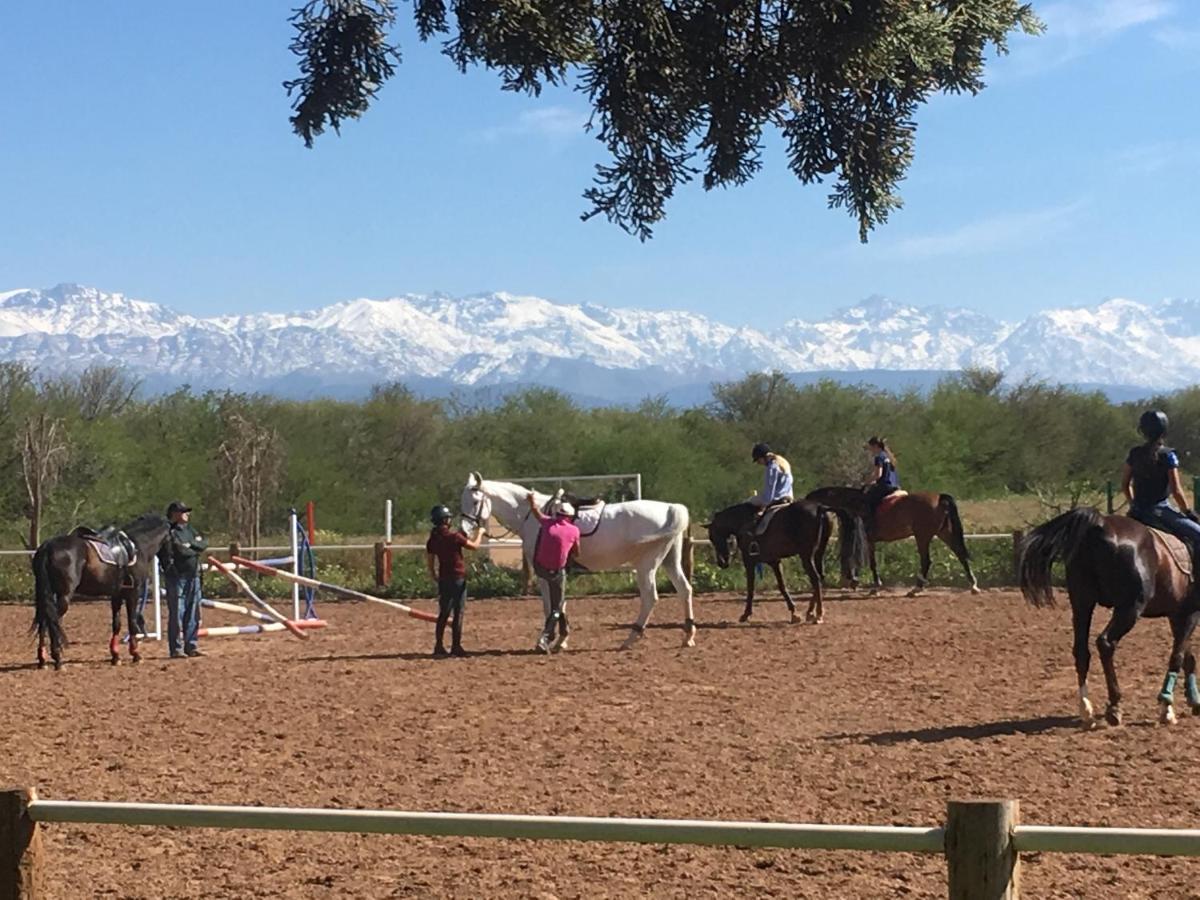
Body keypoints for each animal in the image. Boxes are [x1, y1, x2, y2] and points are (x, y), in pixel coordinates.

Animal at [31, 513, 172, 672]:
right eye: (172, 537)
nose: (169, 562)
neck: (136, 546)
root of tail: (48, 546)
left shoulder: (116, 595)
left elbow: (116, 624)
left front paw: (115, 656)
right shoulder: (133, 593)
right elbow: (132, 622)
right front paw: (136, 654)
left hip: (47, 594)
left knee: (44, 621)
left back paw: (42, 659)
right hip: (64, 596)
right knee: (53, 621)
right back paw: (58, 659)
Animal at [463, 475, 700, 652]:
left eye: (475, 501)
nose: (464, 531)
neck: (532, 516)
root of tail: (671, 508)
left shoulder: (544, 573)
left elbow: (550, 605)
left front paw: (548, 639)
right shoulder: (560, 571)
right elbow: (561, 603)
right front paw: (561, 639)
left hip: (646, 565)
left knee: (650, 597)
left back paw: (631, 638)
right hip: (670, 561)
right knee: (684, 590)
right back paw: (688, 635)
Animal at [700, 501, 864, 628]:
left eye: (713, 537)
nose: (722, 563)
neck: (743, 522)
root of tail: (820, 507)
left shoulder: (750, 562)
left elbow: (751, 588)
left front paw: (745, 615)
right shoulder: (774, 561)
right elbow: (782, 586)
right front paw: (794, 613)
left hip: (806, 555)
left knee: (816, 578)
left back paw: (818, 615)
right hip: (818, 553)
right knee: (820, 577)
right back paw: (810, 612)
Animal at [801, 487, 979, 600]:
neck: (854, 503)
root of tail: (940, 497)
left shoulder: (866, 540)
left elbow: (869, 563)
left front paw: (872, 586)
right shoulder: (869, 541)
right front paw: (859, 583)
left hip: (923, 536)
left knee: (926, 560)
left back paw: (916, 589)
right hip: (944, 533)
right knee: (960, 555)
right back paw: (973, 586)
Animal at [1017, 511, 1195, 729]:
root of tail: (1099, 524)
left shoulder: (1177, 614)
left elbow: (1186, 656)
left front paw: (1193, 700)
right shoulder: (1189, 613)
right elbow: (1177, 656)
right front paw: (1166, 708)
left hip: (1082, 604)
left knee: (1081, 651)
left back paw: (1087, 710)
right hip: (1129, 608)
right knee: (1106, 643)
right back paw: (1114, 706)